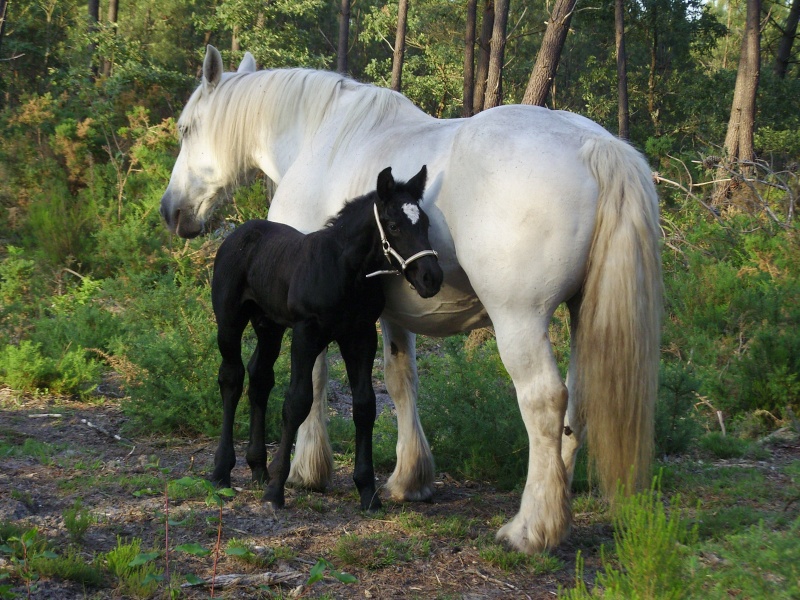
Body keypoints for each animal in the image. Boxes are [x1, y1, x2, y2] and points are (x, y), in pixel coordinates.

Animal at [206, 165, 444, 510]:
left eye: (425, 223)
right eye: (394, 225)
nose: (431, 278)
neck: (345, 271)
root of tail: (240, 232)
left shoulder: (360, 336)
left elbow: (365, 405)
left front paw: (368, 491)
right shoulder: (307, 333)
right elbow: (297, 401)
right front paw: (276, 490)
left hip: (269, 325)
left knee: (260, 377)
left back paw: (258, 468)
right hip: (229, 319)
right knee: (232, 377)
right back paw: (222, 471)